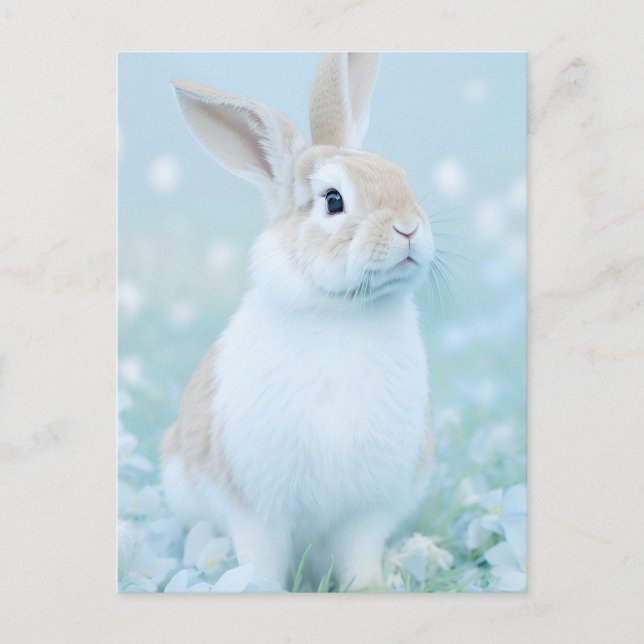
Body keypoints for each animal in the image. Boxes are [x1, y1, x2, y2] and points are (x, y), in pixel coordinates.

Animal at [160, 53, 436, 591]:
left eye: (399, 174)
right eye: (333, 200)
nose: (408, 228)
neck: (345, 310)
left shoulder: (368, 510)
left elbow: (361, 554)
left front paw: (371, 588)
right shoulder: (254, 507)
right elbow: (262, 555)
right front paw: (259, 590)